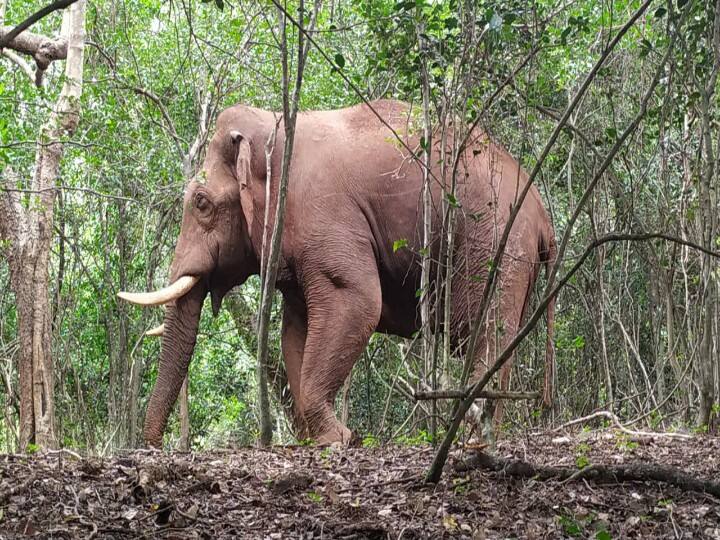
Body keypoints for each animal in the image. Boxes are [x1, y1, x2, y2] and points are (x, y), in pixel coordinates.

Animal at [119, 99, 556, 446]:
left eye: (202, 203)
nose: (153, 447)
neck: (271, 125)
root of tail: (544, 215)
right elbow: (296, 331)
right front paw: (323, 439)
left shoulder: (324, 213)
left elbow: (358, 302)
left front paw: (342, 439)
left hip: (496, 238)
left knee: (485, 330)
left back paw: (471, 434)